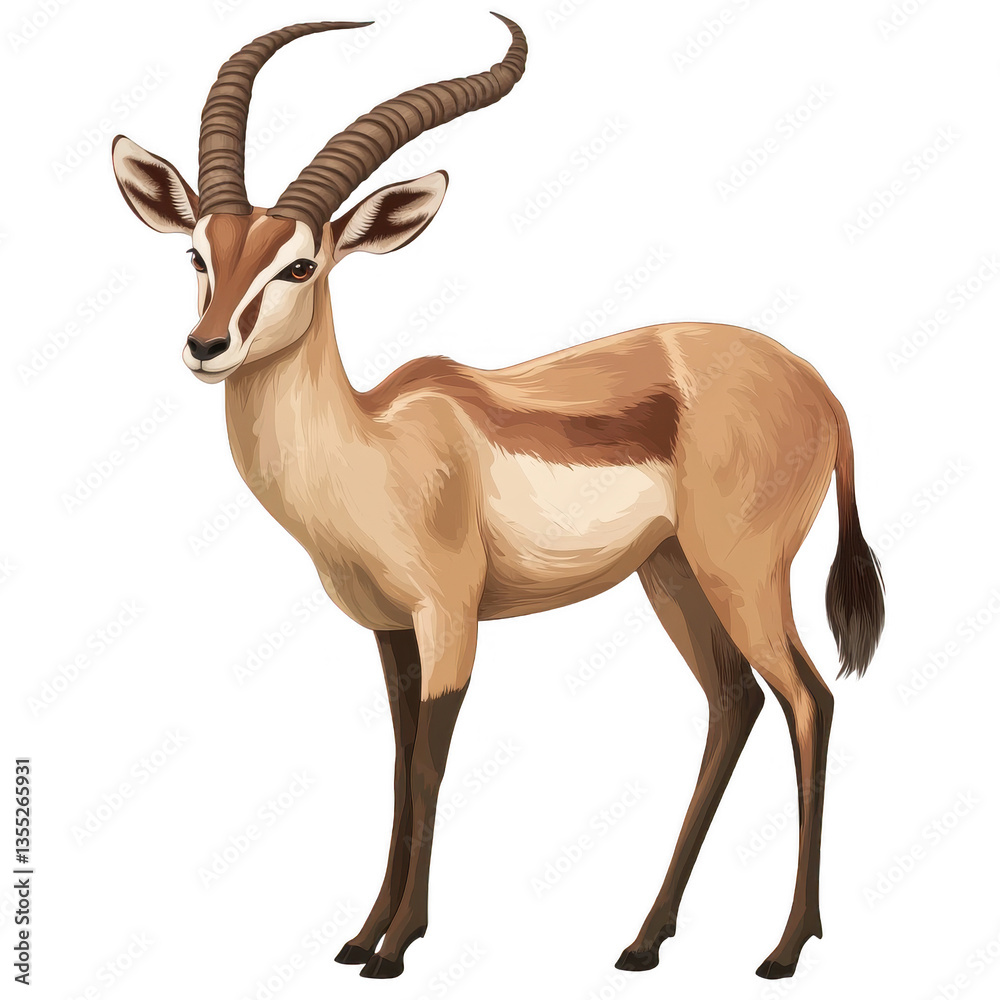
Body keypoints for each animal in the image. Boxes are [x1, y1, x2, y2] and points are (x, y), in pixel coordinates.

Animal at [111, 14, 885, 981]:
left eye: (299, 265)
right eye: (199, 252)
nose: (206, 345)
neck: (375, 444)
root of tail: (820, 387)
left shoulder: (451, 617)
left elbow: (431, 764)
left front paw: (396, 948)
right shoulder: (390, 630)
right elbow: (398, 763)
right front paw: (360, 935)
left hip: (741, 574)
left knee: (809, 700)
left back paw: (783, 949)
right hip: (671, 575)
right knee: (734, 701)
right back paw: (643, 941)